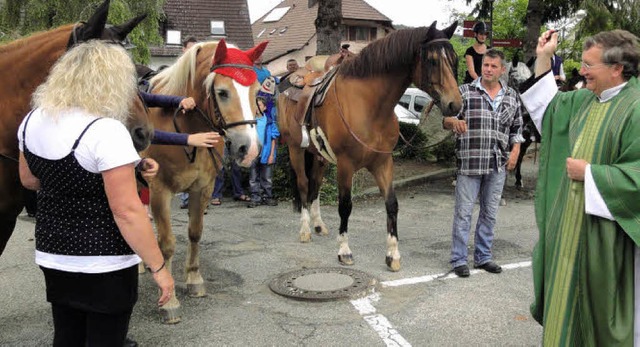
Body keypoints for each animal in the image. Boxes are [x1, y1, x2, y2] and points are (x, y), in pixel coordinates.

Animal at [142, 39, 264, 324]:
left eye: (256, 91)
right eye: (222, 92)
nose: (249, 149)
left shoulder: (203, 188)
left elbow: (195, 233)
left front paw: (194, 279)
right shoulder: (159, 190)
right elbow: (167, 244)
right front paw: (169, 300)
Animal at [278, 21, 462, 274]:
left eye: (454, 59)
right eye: (433, 60)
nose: (455, 105)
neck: (369, 105)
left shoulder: (383, 162)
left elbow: (392, 204)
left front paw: (393, 254)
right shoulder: (345, 164)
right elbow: (345, 205)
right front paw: (344, 251)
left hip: (319, 156)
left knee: (315, 184)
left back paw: (318, 224)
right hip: (296, 149)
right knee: (304, 184)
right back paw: (305, 229)